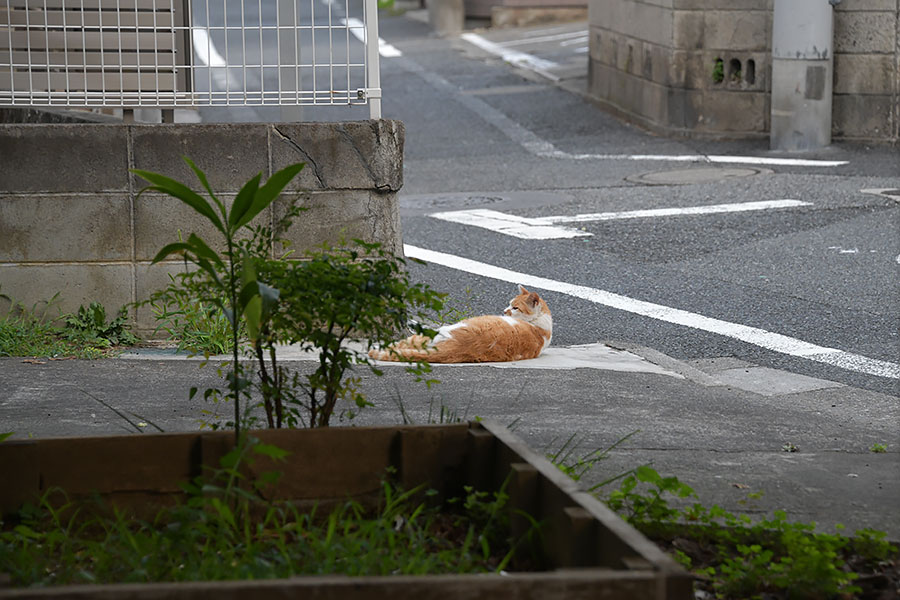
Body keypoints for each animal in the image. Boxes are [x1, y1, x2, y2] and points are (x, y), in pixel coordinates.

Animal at [370, 284, 552, 364]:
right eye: (509, 304)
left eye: (515, 307)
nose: (505, 311)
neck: (540, 326)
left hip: (434, 333)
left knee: (400, 344)